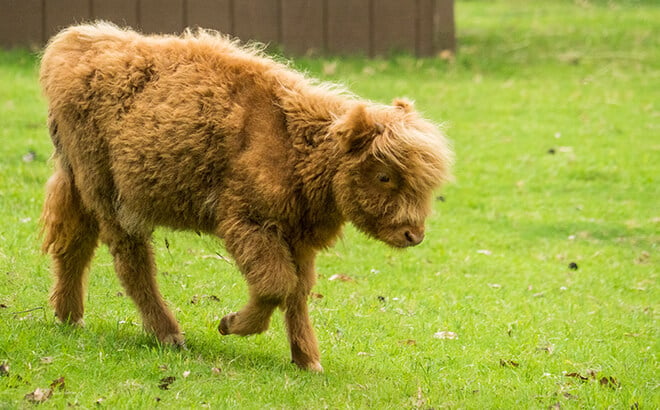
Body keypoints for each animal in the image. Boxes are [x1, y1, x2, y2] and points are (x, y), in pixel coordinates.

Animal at [40, 23, 454, 372]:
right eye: (384, 175)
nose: (413, 234)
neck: (296, 141)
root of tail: (76, 42)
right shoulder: (248, 224)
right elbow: (276, 285)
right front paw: (230, 324)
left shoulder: (297, 238)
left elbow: (298, 291)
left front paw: (307, 360)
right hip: (110, 198)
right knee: (131, 261)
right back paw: (169, 334)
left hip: (80, 187)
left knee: (74, 244)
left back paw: (70, 317)